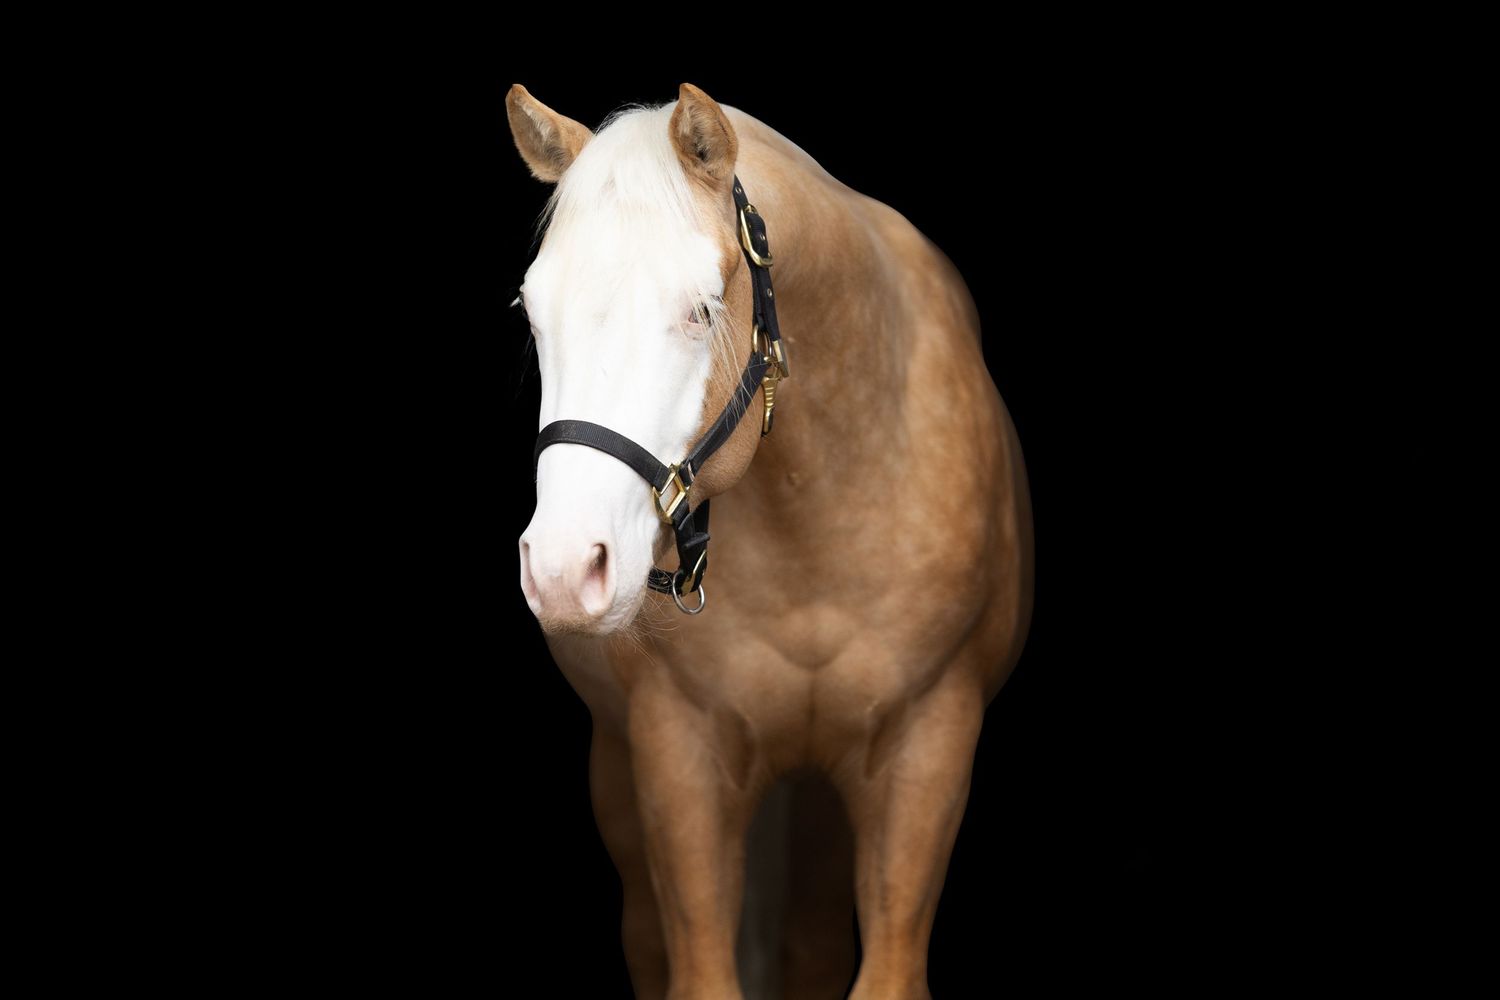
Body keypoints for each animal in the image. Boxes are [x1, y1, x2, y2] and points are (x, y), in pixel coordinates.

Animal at [506, 81, 1033, 1000]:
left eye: (702, 309)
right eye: (534, 313)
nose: (567, 570)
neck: (815, 526)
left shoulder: (928, 747)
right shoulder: (678, 756)